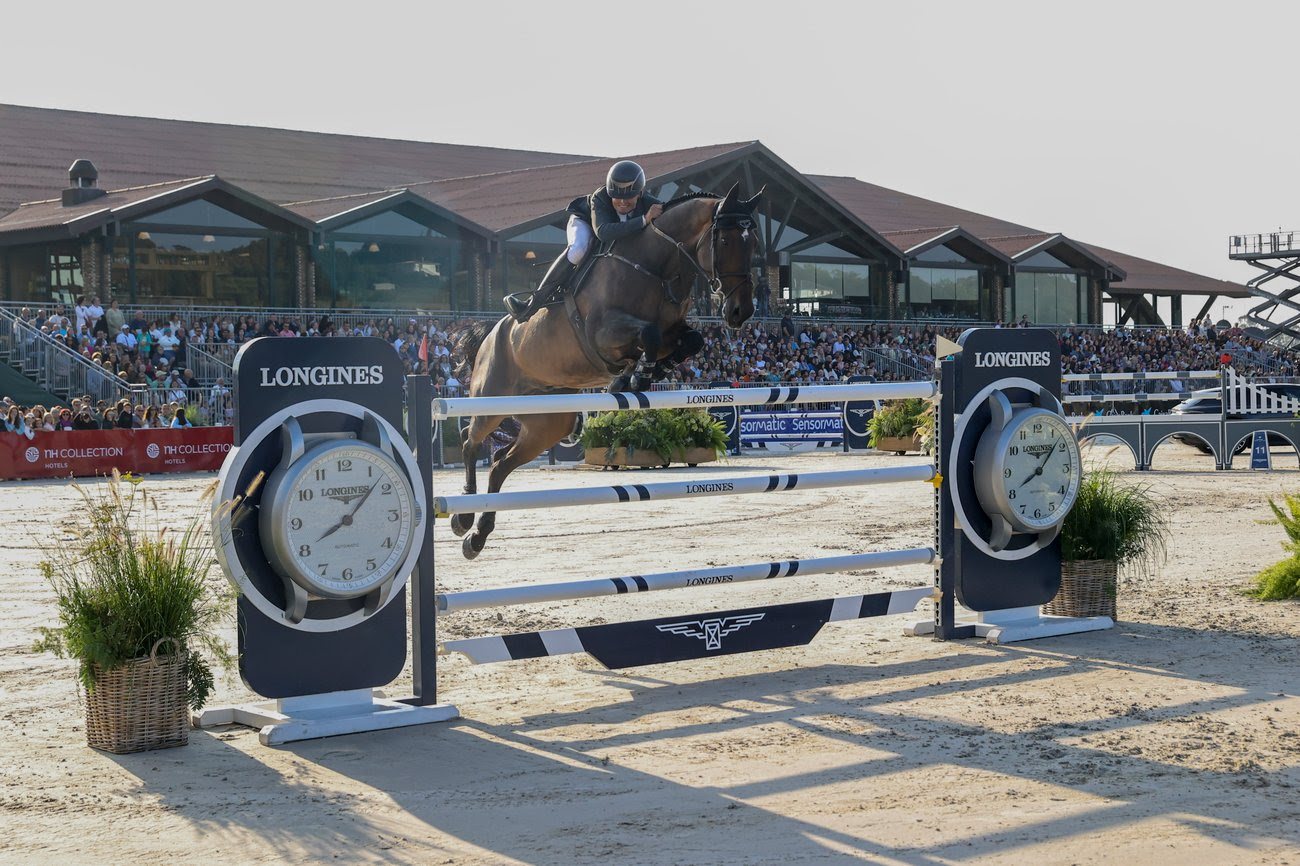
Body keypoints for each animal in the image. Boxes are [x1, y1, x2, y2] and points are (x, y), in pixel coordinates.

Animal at [452, 184, 764, 556]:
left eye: (754, 244)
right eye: (727, 241)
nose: (740, 312)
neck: (655, 268)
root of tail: (489, 333)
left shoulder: (672, 331)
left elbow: (690, 340)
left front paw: (640, 375)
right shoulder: (603, 333)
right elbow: (648, 334)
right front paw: (634, 376)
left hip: (548, 423)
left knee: (500, 462)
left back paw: (478, 535)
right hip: (492, 400)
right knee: (470, 442)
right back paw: (463, 517)